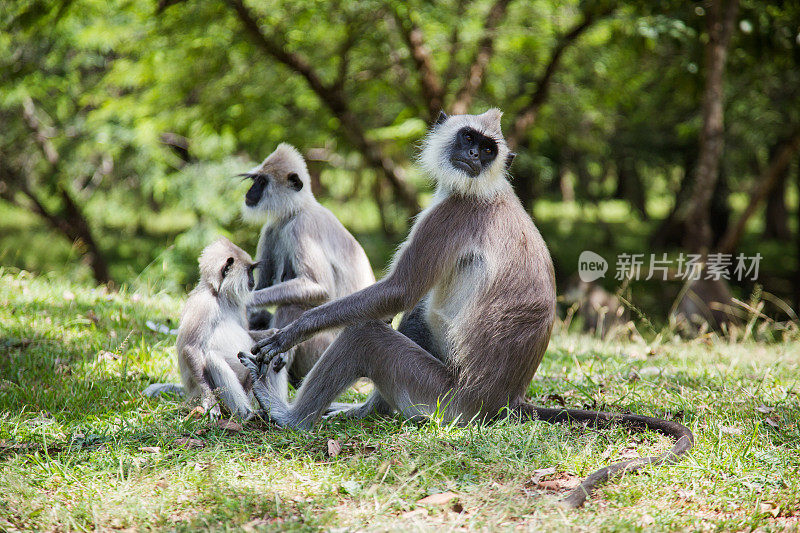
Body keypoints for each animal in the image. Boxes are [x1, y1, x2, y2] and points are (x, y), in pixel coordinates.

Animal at [143, 238, 268, 420]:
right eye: (249, 271)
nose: (253, 282)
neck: (219, 296)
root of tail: (190, 393)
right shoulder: (204, 304)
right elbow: (191, 348)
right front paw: (210, 400)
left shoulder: (239, 307)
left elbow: (250, 335)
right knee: (213, 357)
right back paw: (246, 414)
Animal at [239, 109, 692, 508]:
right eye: (469, 138)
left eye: (488, 149)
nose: (474, 155)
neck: (484, 188)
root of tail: (506, 401)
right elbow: (403, 303)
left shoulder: (451, 214)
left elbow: (398, 292)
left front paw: (286, 334)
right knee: (415, 319)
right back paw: (362, 410)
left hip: (448, 401)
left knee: (366, 335)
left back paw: (289, 417)